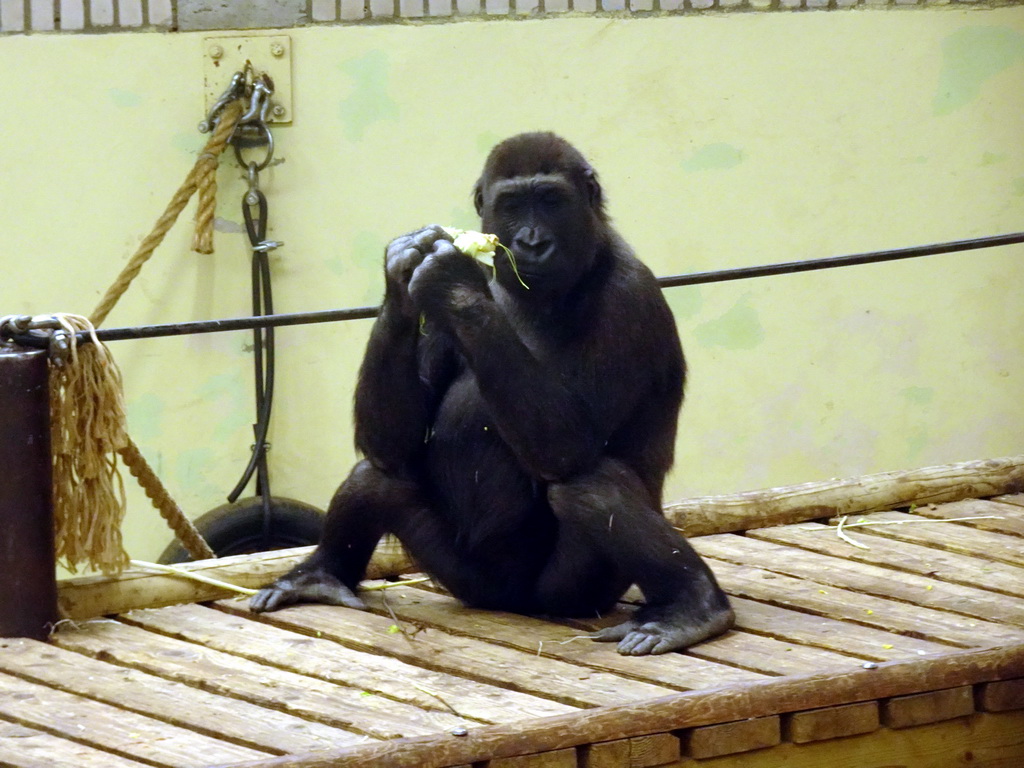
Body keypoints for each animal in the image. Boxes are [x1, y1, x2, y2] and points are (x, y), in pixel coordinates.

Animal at [254, 131, 737, 655]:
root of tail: (514, 605)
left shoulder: (629, 298)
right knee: (377, 474)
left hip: (573, 595)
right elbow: (394, 443)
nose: (531, 241)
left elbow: (569, 448)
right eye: (512, 205)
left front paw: (453, 283)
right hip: (468, 582)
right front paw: (403, 270)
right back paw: (320, 575)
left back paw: (693, 605)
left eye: (550, 200)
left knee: (589, 484)